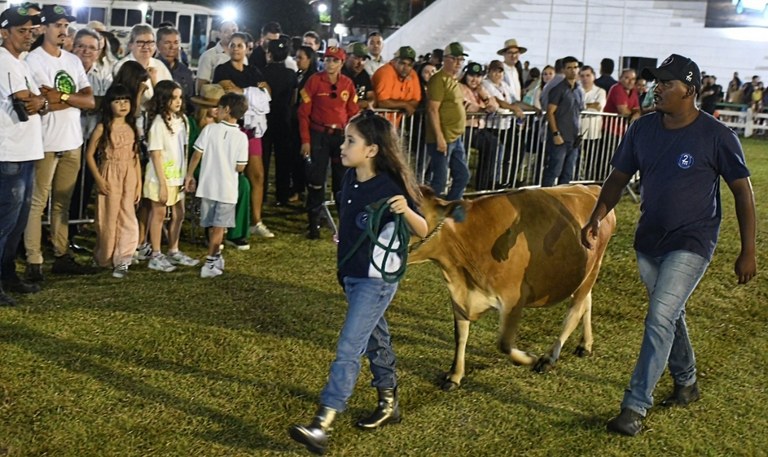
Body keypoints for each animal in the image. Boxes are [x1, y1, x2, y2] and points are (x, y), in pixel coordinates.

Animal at [412, 183, 616, 390]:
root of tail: (591, 187)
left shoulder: (514, 297)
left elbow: (504, 343)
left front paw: (529, 358)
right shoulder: (460, 296)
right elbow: (460, 335)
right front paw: (454, 375)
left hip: (593, 268)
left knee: (575, 312)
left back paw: (548, 358)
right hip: (583, 273)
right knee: (587, 302)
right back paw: (585, 345)